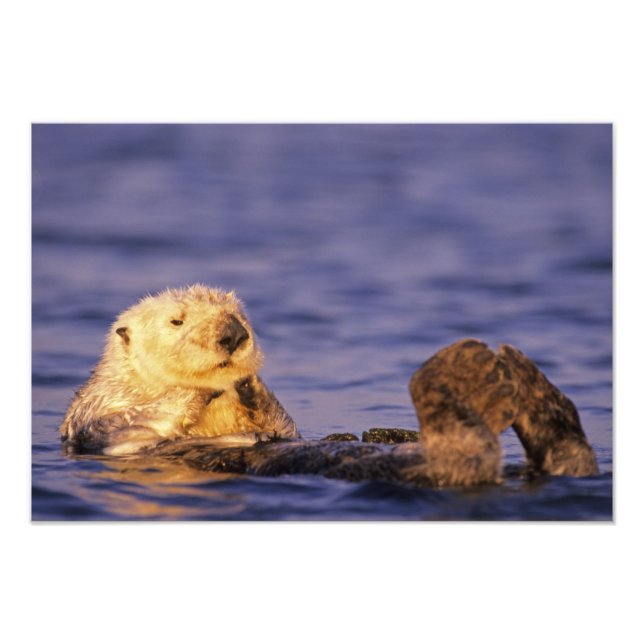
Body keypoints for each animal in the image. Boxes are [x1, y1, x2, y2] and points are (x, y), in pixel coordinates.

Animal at [60, 286, 599, 485]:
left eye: (239, 313)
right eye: (176, 321)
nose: (233, 334)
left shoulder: (284, 428)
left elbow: (283, 428)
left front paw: (251, 386)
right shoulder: (101, 418)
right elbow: (133, 426)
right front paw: (209, 386)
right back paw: (476, 375)